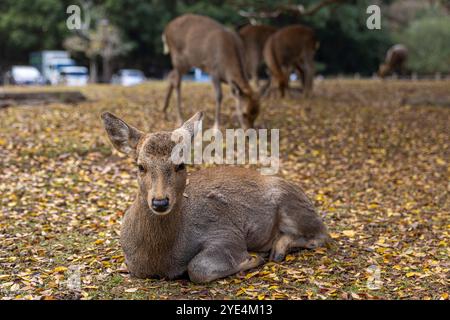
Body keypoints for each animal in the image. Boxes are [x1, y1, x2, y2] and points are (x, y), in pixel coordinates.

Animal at [100, 111, 328, 282]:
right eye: (140, 166)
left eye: (180, 165)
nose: (160, 201)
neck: (160, 260)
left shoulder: (226, 233)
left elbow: (197, 269)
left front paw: (252, 259)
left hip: (293, 204)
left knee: (321, 235)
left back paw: (277, 250)